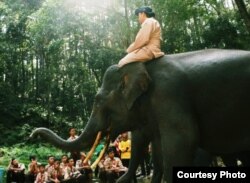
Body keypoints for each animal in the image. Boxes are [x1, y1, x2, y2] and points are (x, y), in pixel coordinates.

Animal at [30, 49, 250, 183]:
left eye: (98, 100)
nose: (32, 134)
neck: (142, 66)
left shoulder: (169, 95)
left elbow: (183, 140)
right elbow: (156, 145)